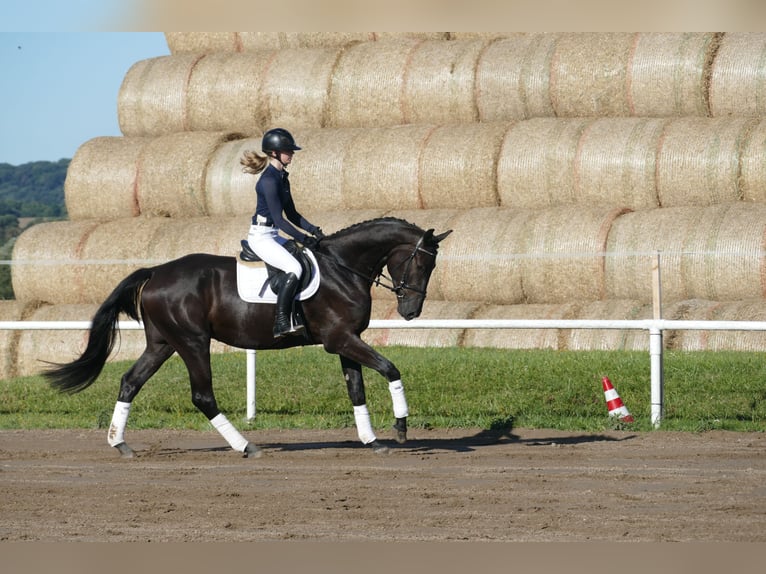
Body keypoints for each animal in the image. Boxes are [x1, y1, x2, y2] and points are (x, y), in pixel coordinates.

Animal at [44, 217, 452, 458]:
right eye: (420, 262)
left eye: (432, 265)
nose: (411, 311)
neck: (342, 269)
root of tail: (156, 271)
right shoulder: (340, 339)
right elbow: (390, 369)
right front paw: (400, 428)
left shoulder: (346, 341)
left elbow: (357, 389)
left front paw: (372, 440)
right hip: (192, 342)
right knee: (202, 395)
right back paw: (245, 446)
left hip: (162, 343)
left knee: (130, 381)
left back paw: (120, 443)